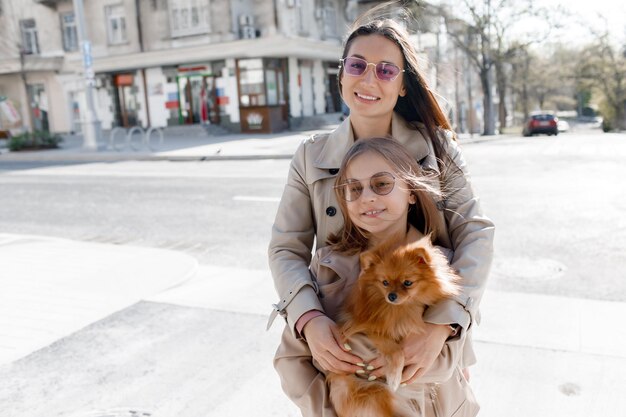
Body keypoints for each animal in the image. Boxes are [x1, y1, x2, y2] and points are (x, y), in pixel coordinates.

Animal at [326, 234, 458, 416]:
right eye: (385, 283)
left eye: (407, 283)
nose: (392, 296)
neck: (402, 308)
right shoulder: (365, 328)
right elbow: (395, 350)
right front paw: (395, 377)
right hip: (374, 392)